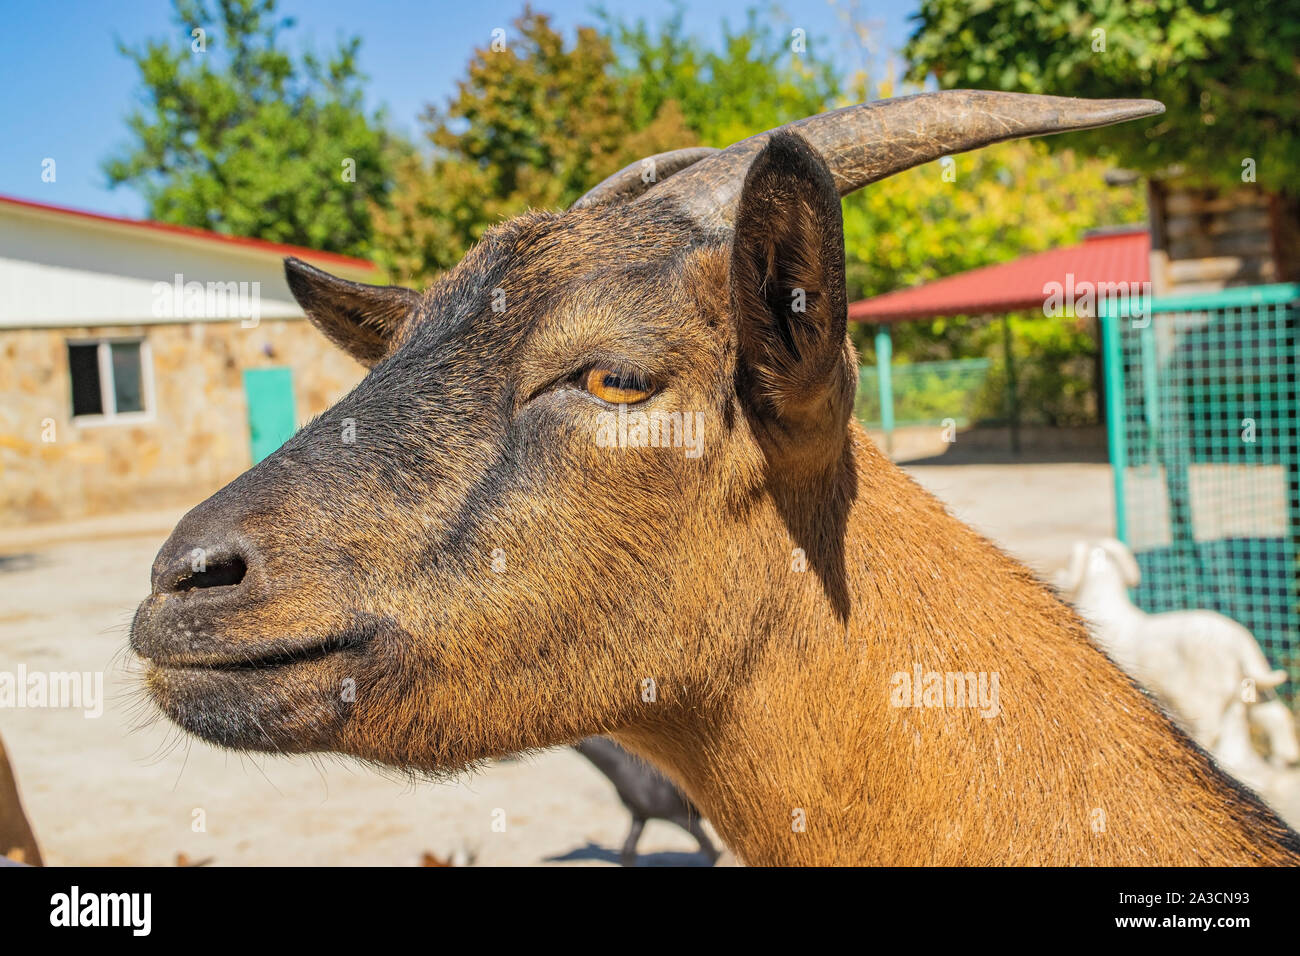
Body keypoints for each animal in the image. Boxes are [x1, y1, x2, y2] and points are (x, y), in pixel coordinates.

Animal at [1055, 538, 1300, 770]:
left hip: (1203, 696)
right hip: (1249, 688)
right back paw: (1275, 760)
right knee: (1268, 717)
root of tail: (1238, 638)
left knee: (1212, 731)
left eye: (1068, 561)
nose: (1060, 576)